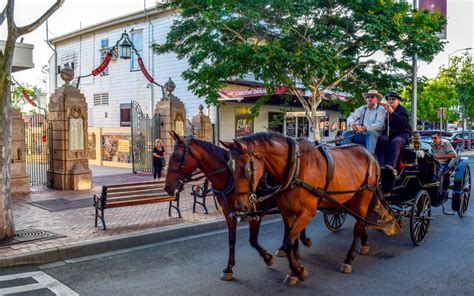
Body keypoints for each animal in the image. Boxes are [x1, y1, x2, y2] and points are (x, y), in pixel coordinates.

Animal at [163, 131, 312, 280]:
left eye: (177, 156)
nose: (167, 187)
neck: (229, 178)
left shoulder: (253, 212)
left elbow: (253, 239)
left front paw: (267, 257)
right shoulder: (229, 212)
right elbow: (231, 239)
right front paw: (229, 268)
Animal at [223, 132, 400, 284]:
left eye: (246, 169)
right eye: (229, 168)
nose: (239, 206)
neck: (295, 167)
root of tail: (370, 154)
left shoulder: (307, 212)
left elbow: (288, 242)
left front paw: (298, 271)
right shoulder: (288, 213)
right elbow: (292, 242)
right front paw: (295, 270)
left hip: (364, 196)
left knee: (358, 226)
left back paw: (348, 260)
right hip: (350, 198)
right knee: (360, 222)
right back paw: (364, 244)